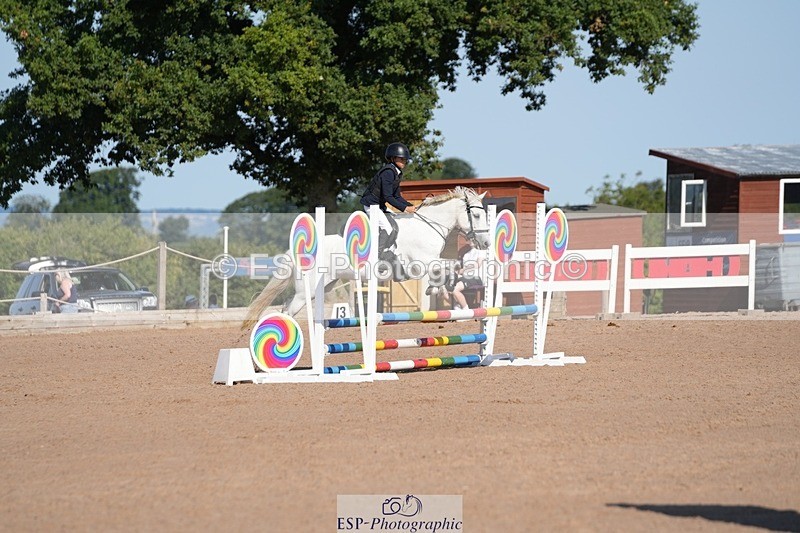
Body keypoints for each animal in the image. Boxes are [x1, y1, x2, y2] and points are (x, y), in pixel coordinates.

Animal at [242, 186, 490, 329]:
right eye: (477, 215)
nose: (486, 243)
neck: (428, 226)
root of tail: (299, 250)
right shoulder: (421, 264)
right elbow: (449, 266)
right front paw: (437, 287)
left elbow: (451, 266)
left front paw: (437, 288)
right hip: (306, 291)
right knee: (288, 311)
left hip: (322, 287)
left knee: (286, 307)